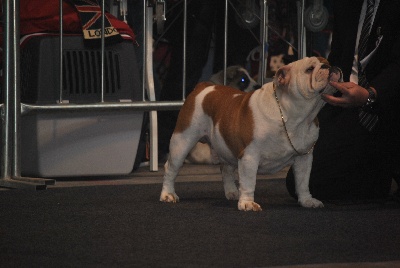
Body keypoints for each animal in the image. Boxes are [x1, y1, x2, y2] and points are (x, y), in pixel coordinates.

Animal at [161, 57, 342, 211]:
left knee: (226, 168)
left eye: (327, 62)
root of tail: (203, 86)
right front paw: (247, 203)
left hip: (225, 145)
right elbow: (249, 182)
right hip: (183, 140)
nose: (329, 67)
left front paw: (307, 200)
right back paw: (168, 194)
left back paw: (232, 192)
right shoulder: (249, 156)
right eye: (309, 69)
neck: (294, 116)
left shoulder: (304, 157)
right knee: (171, 167)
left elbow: (303, 181)